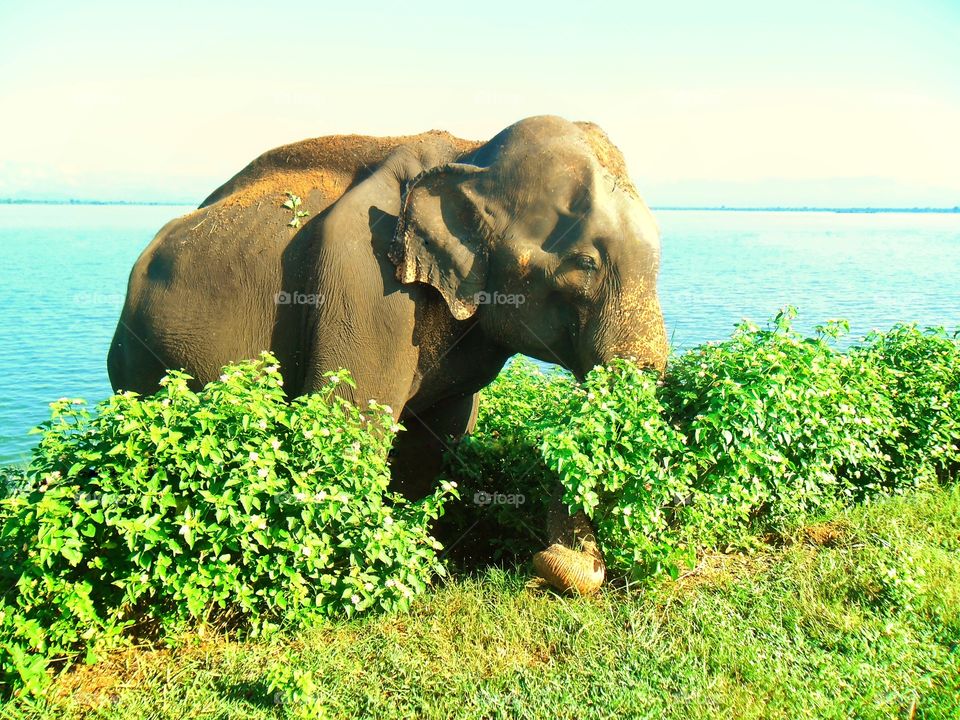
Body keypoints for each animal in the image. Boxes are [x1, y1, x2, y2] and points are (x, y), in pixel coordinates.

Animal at [108, 115, 668, 594]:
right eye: (584, 264)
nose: (560, 565)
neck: (472, 152)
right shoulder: (366, 285)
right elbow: (350, 424)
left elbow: (439, 435)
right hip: (138, 361)